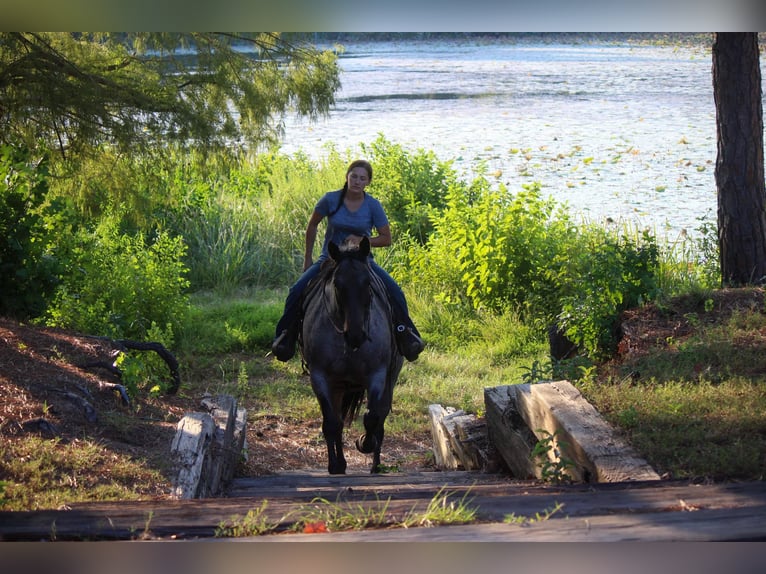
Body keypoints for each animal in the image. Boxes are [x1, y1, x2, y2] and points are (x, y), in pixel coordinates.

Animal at [302, 236, 408, 474]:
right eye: (337, 285)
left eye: (367, 283)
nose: (356, 334)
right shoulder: (320, 378)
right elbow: (331, 423)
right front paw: (335, 465)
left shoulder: (377, 375)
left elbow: (372, 418)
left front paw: (364, 443)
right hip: (339, 387)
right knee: (339, 420)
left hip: (389, 381)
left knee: (380, 418)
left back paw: (376, 465)